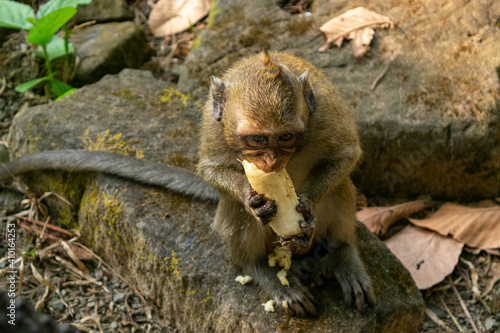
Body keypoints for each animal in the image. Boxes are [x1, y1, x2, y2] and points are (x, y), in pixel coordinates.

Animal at [0, 50, 374, 316]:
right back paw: (258, 268)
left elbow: (347, 156)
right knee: (236, 212)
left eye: (285, 137)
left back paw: (341, 253)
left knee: (340, 188)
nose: (269, 163)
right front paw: (252, 198)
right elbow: (210, 169)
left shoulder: (326, 113)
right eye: (256, 139)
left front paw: (306, 209)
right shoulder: (212, 122)